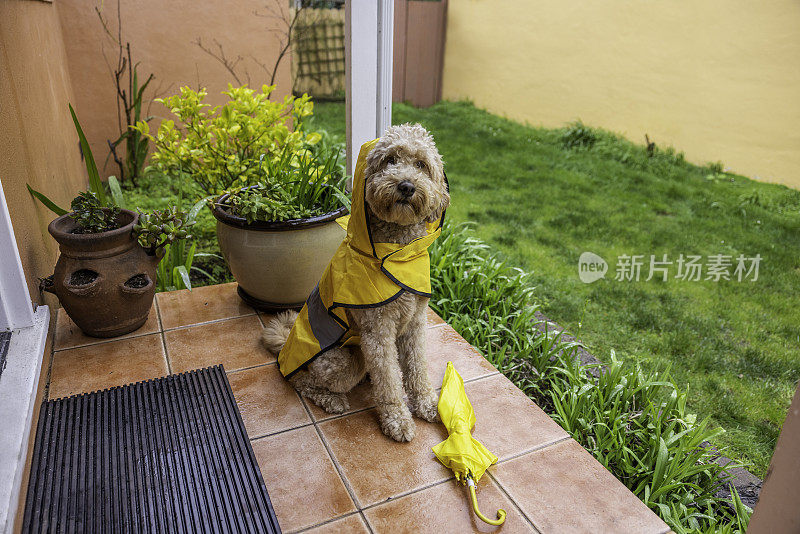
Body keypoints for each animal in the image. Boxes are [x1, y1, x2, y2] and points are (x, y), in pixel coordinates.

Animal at [262, 125, 450, 444]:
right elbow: (389, 380)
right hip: (343, 360)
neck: (396, 252)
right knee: (300, 380)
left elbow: (417, 367)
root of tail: (286, 344)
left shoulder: (415, 323)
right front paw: (397, 419)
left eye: (421, 164)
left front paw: (425, 403)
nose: (406, 186)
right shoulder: (378, 330)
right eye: (389, 160)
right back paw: (331, 399)